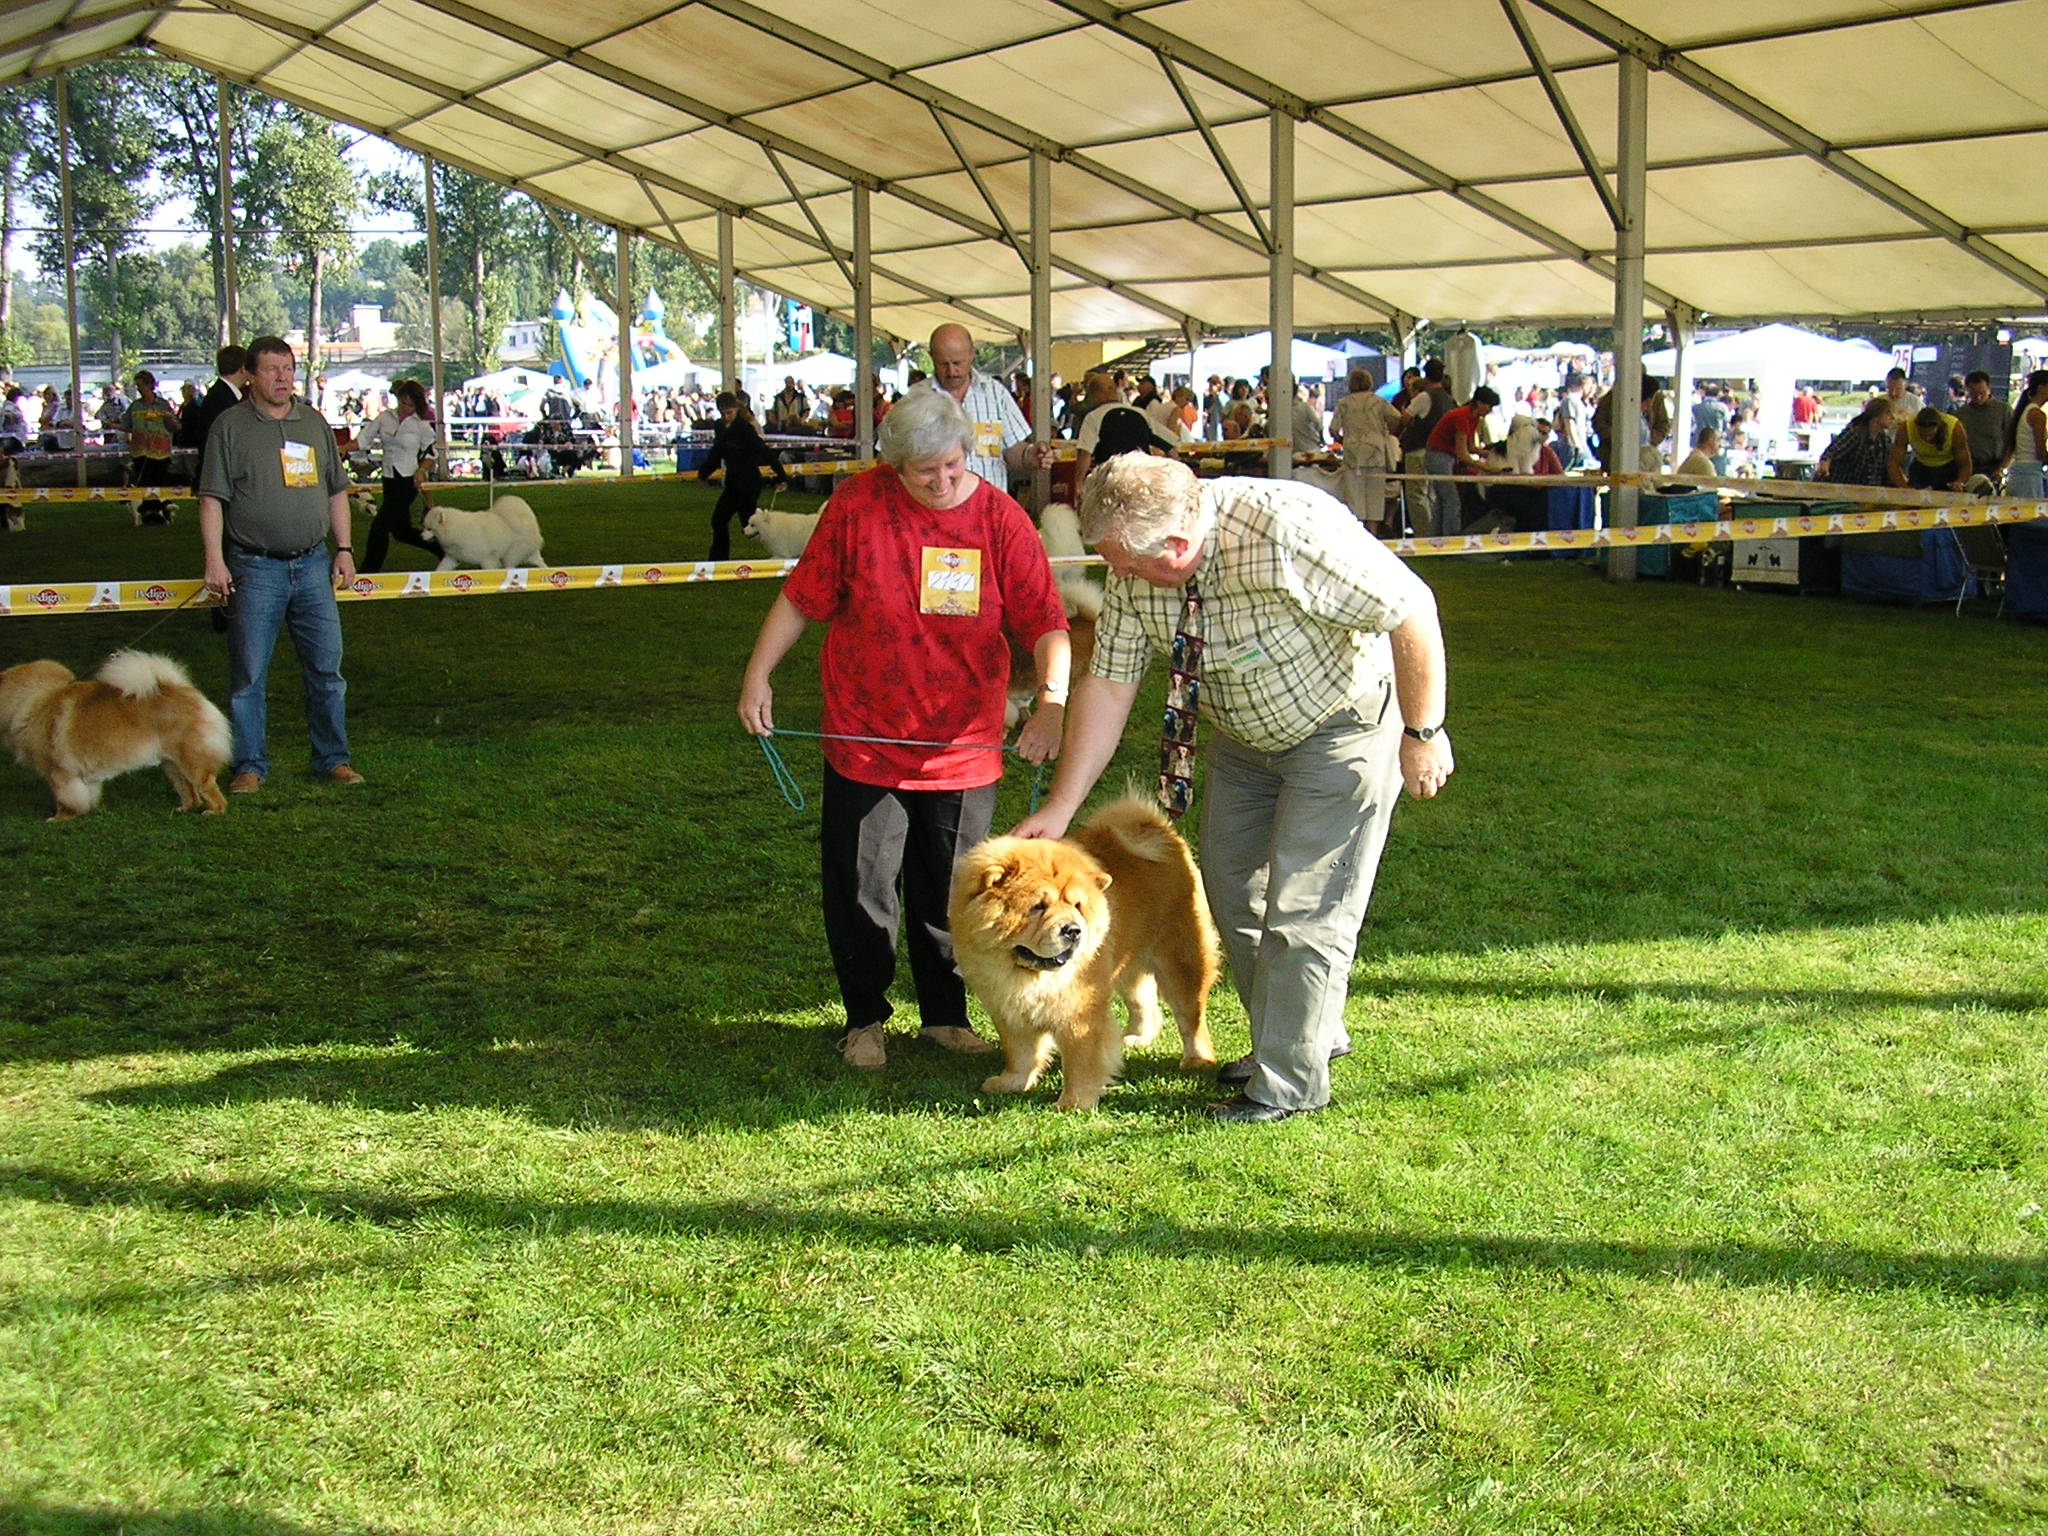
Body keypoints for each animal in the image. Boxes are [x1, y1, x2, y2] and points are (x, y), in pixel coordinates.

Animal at [0, 647, 232, 819]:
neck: (31, 700)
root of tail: (181, 689)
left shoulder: (58, 773)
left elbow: (65, 800)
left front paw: (59, 818)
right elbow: (87, 794)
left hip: (191, 759)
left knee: (207, 786)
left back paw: (213, 812)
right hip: (171, 763)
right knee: (187, 789)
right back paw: (184, 808)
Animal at [946, 798, 1212, 1114]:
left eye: (1076, 905)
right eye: (1038, 907)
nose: (1073, 930)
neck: (1025, 976)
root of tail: (1162, 832)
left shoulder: (1080, 1013)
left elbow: (1080, 1062)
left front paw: (1073, 1103)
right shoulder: (1007, 1010)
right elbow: (1019, 1052)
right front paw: (1012, 1082)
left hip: (1180, 959)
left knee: (1190, 1014)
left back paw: (1197, 1059)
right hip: (1127, 962)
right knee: (1142, 1000)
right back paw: (1136, 1037)